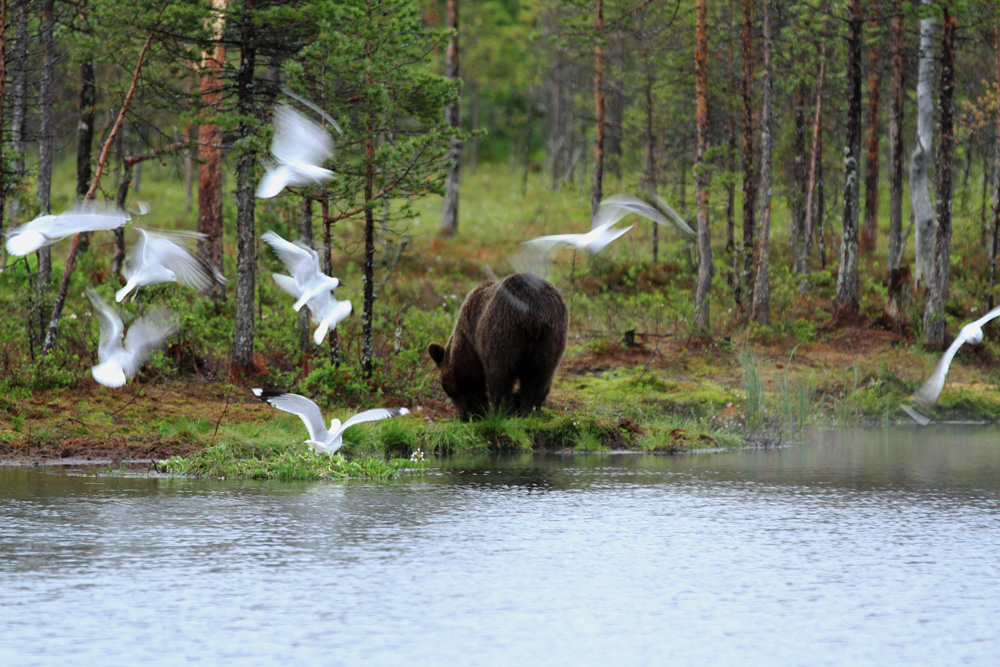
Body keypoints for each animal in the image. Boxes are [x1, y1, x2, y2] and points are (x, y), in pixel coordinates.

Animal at [428, 270, 572, 418]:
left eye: (450, 390)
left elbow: (472, 376)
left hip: (503, 330)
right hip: (552, 336)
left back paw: (503, 411)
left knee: (500, 376)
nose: (462, 416)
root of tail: (535, 313)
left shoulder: (469, 340)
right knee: (539, 376)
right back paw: (528, 410)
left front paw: (477, 410)